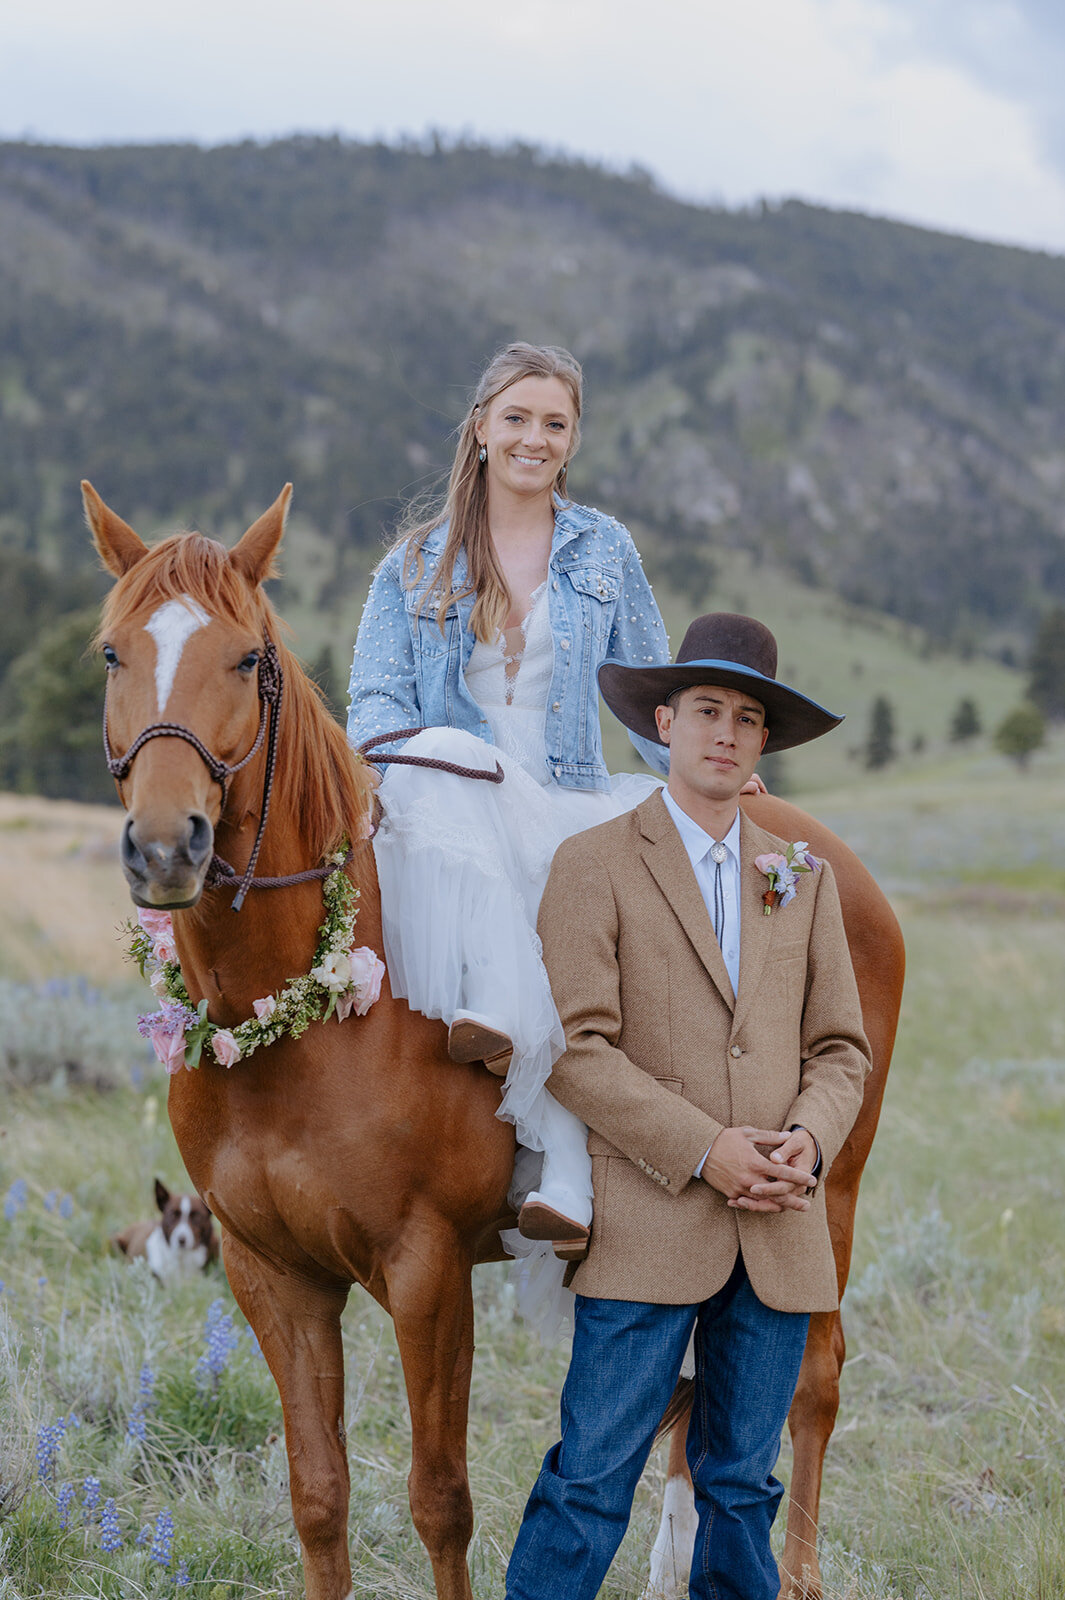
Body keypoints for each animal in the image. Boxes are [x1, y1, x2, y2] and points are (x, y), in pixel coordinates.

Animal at [91, 483, 901, 1600]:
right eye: (112, 654)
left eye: (249, 659)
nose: (168, 846)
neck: (295, 1018)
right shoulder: (272, 1276)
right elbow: (318, 1498)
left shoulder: (426, 1268)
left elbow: (442, 1501)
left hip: (827, 1187)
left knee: (812, 1381)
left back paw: (799, 1573)